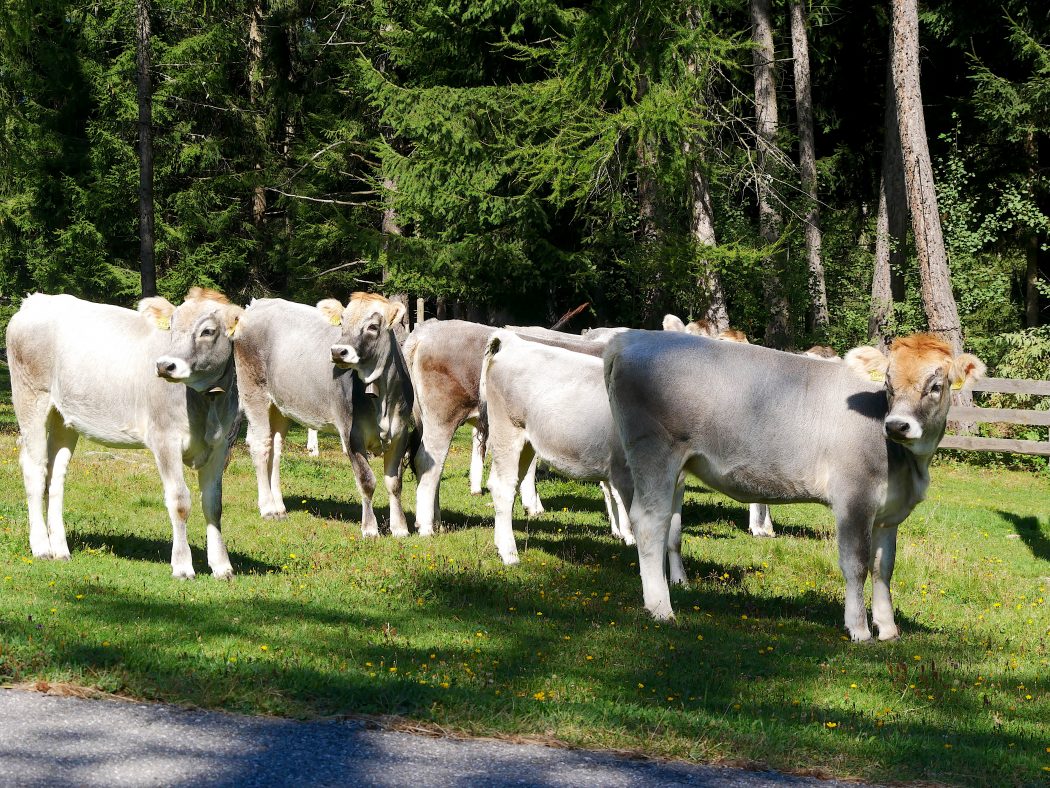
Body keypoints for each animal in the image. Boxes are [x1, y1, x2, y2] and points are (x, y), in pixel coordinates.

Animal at [6, 288, 243, 578]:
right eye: (172, 325)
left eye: (208, 331)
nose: (165, 365)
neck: (207, 402)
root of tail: (36, 300)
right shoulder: (164, 439)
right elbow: (179, 501)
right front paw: (182, 566)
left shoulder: (221, 446)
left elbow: (213, 504)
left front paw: (222, 566)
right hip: (31, 399)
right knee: (35, 469)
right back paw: (41, 547)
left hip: (64, 418)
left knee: (55, 476)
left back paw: (60, 549)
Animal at [233, 294, 413, 537]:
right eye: (342, 323)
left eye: (373, 326)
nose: (338, 351)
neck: (382, 397)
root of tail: (257, 304)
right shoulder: (351, 434)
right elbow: (366, 480)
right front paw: (369, 529)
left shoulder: (400, 433)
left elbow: (394, 483)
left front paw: (400, 528)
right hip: (254, 393)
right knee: (260, 445)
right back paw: (268, 508)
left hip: (280, 407)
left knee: (275, 449)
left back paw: (279, 507)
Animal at [604, 330, 984, 641]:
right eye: (888, 384)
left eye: (936, 386)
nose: (896, 425)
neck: (908, 466)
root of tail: (629, 340)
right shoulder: (854, 498)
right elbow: (856, 564)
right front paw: (860, 629)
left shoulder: (888, 513)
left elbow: (884, 568)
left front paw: (889, 629)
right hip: (654, 454)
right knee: (649, 522)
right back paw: (661, 608)